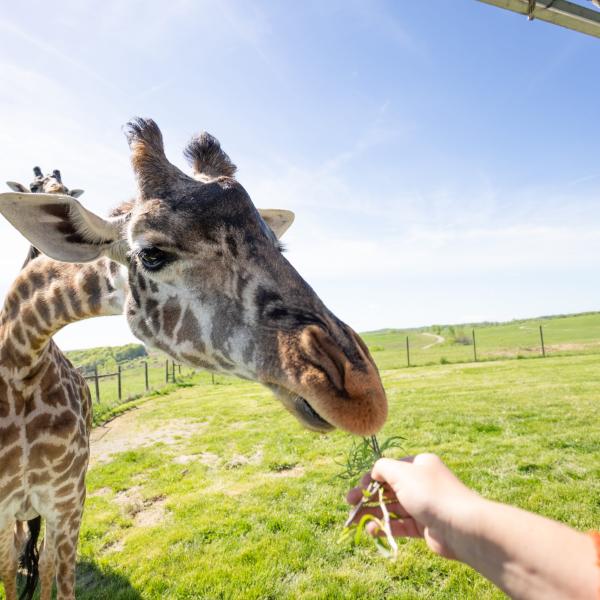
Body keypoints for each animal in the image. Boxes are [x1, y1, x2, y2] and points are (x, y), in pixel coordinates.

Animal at [0, 119, 386, 596]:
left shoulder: (69, 499)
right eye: (151, 253)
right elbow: (12, 576)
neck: (21, 363)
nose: (364, 396)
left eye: (278, 247)